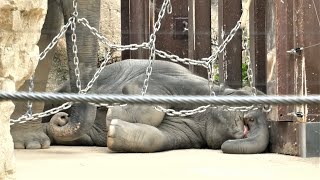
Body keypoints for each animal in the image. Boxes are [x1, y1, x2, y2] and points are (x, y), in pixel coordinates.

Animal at [39, 59, 270, 154]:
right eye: (251, 98)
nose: (252, 119)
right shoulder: (184, 83)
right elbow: (141, 85)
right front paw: (113, 113)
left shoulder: (191, 133)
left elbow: (158, 138)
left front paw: (113, 131)